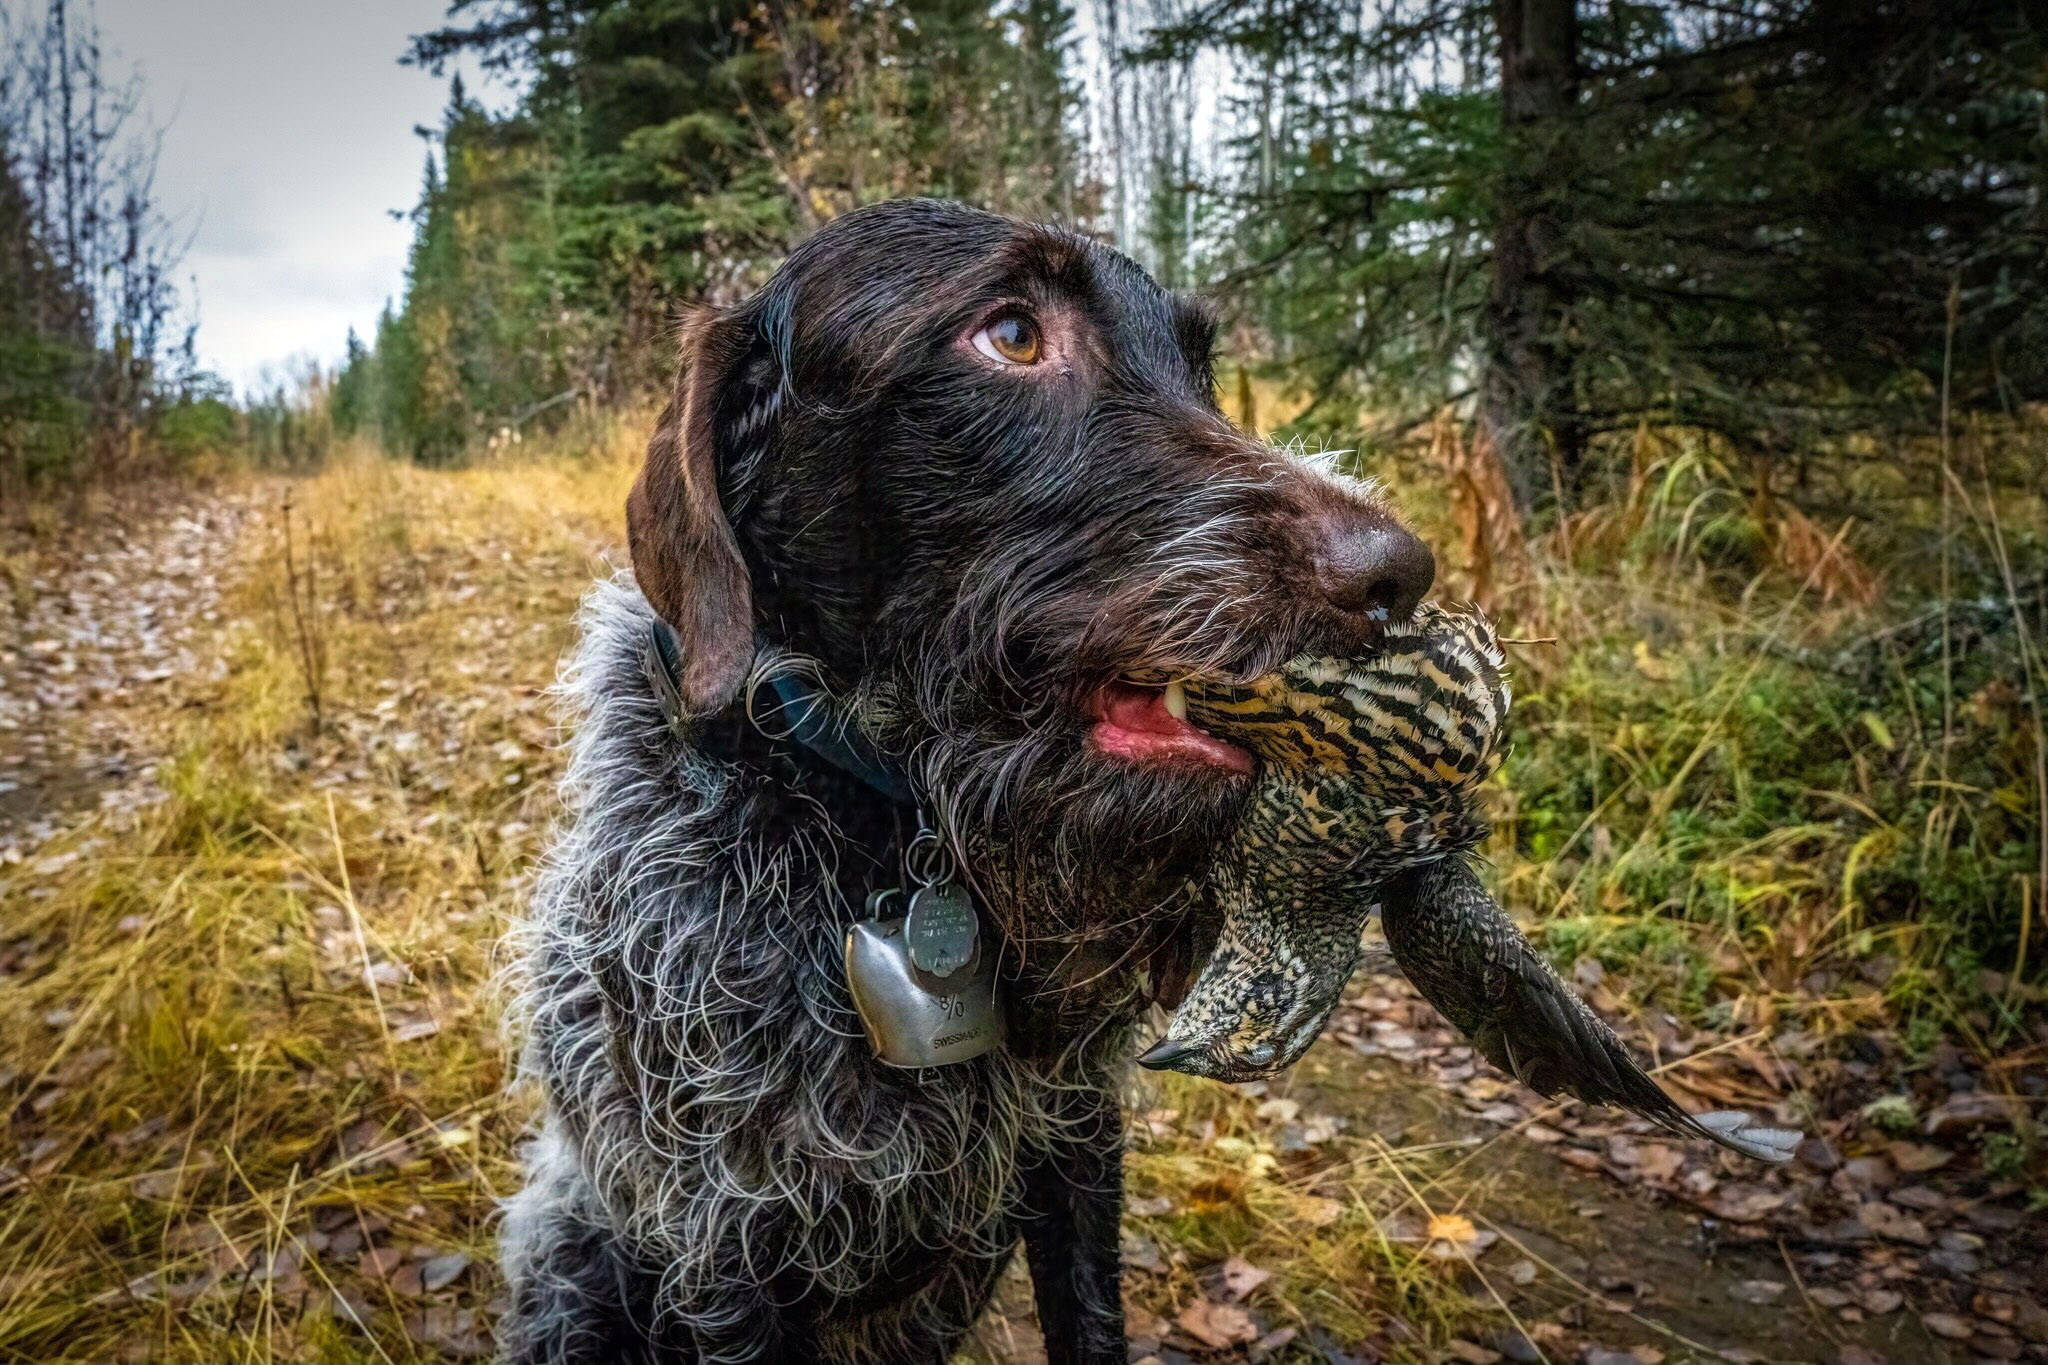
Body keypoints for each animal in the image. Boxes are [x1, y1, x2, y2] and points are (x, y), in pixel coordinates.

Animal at [497, 194, 1433, 1365]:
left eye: (1199, 366)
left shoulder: (1073, 1140)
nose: (1398, 576)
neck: (878, 829)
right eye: (1012, 334)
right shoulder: (728, 1245)